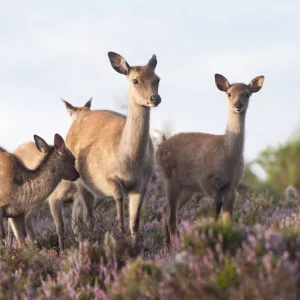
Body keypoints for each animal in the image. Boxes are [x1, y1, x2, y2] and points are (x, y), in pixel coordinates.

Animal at [62, 51, 162, 244]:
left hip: (96, 192)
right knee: (88, 215)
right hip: (80, 181)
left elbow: (135, 223)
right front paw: (120, 238)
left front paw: (135, 245)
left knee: (80, 212)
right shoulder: (109, 178)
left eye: (157, 78)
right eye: (135, 80)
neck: (128, 161)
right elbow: (119, 213)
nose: (155, 98)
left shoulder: (143, 183)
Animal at [157, 73, 264, 246]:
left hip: (187, 189)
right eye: (229, 94)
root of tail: (160, 145)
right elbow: (215, 211)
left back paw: (166, 244)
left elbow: (227, 221)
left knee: (165, 210)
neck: (227, 155)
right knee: (172, 217)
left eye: (247, 94)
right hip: (169, 178)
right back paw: (174, 246)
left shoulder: (232, 187)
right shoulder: (205, 181)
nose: (238, 105)